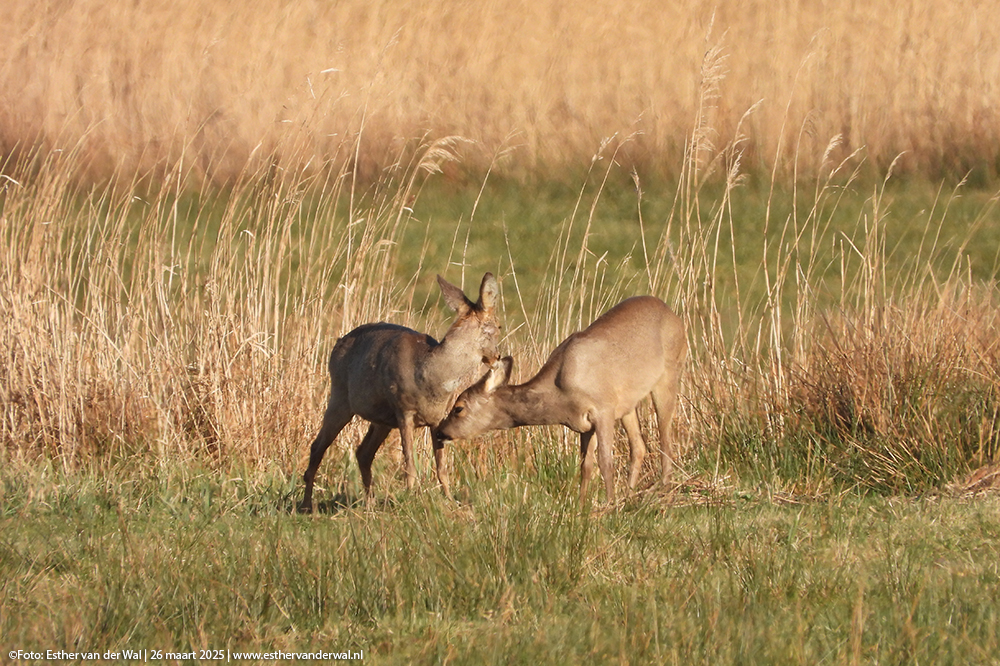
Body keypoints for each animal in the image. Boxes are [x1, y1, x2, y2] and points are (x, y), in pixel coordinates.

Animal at [298, 272, 501, 512]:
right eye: (499, 326)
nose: (497, 357)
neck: (433, 378)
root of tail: (337, 344)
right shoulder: (404, 410)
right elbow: (409, 463)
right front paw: (411, 498)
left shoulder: (438, 418)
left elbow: (441, 467)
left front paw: (450, 500)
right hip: (340, 397)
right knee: (317, 446)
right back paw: (306, 505)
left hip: (381, 419)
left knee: (363, 452)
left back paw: (370, 503)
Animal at [435, 296, 686, 505]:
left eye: (458, 408)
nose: (440, 431)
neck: (559, 397)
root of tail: (672, 313)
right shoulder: (585, 424)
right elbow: (586, 465)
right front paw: (582, 506)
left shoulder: (603, 408)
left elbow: (605, 462)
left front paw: (609, 505)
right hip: (627, 403)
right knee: (639, 446)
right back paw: (630, 494)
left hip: (668, 372)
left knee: (665, 438)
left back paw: (664, 489)